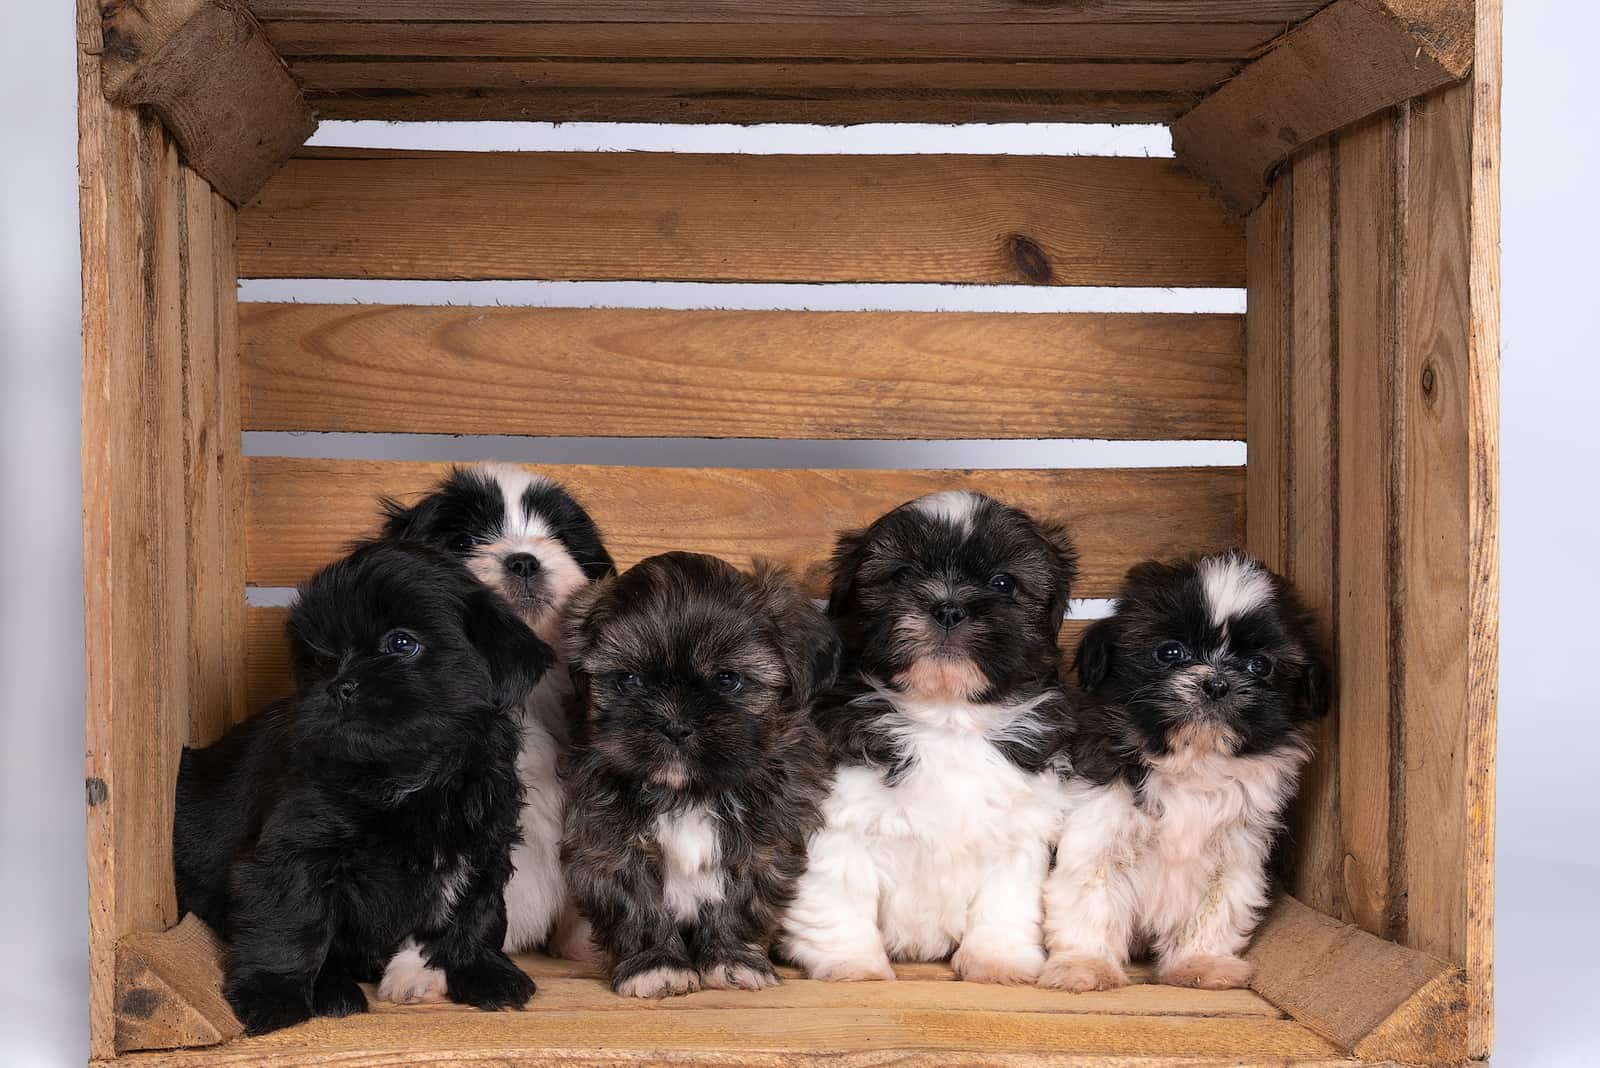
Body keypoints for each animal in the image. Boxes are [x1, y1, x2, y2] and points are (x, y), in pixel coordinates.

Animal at [174, 543, 550, 1036]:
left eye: (402, 644)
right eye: (319, 661)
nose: (339, 686)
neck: (409, 775)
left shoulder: (485, 841)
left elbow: (480, 910)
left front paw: (482, 968)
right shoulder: (294, 852)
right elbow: (291, 921)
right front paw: (273, 994)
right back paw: (330, 987)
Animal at [560, 556, 838, 997]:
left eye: (727, 679)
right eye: (628, 680)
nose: (675, 725)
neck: (688, 793)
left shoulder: (765, 843)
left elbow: (739, 901)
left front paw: (732, 959)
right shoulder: (608, 843)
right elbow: (638, 903)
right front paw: (655, 965)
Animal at [780, 492, 1081, 984]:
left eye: (1003, 582)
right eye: (902, 575)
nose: (948, 607)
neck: (946, 717)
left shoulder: (1020, 827)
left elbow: (1005, 901)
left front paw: (998, 960)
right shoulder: (840, 819)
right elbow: (841, 895)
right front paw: (852, 964)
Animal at [1036, 549, 1324, 991]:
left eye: (1260, 666)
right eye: (1170, 653)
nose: (1217, 683)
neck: (1194, 761)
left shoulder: (1236, 852)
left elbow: (1216, 908)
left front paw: (1201, 963)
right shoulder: (1098, 831)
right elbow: (1090, 902)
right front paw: (1084, 966)